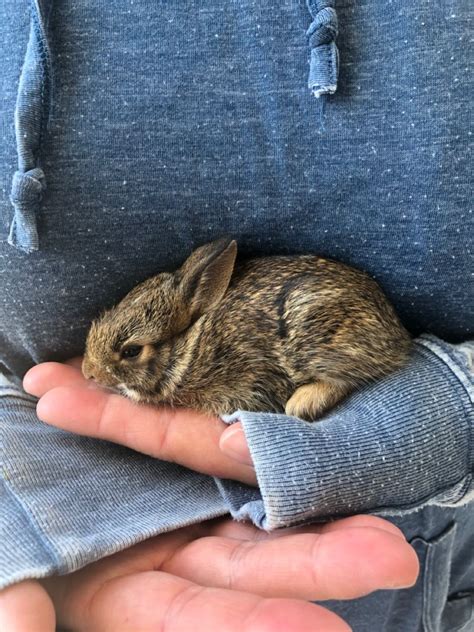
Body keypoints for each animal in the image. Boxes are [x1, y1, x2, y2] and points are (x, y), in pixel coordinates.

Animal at [81, 239, 412, 422]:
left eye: (131, 351)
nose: (88, 372)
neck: (189, 347)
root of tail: (396, 334)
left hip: (318, 336)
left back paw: (300, 403)